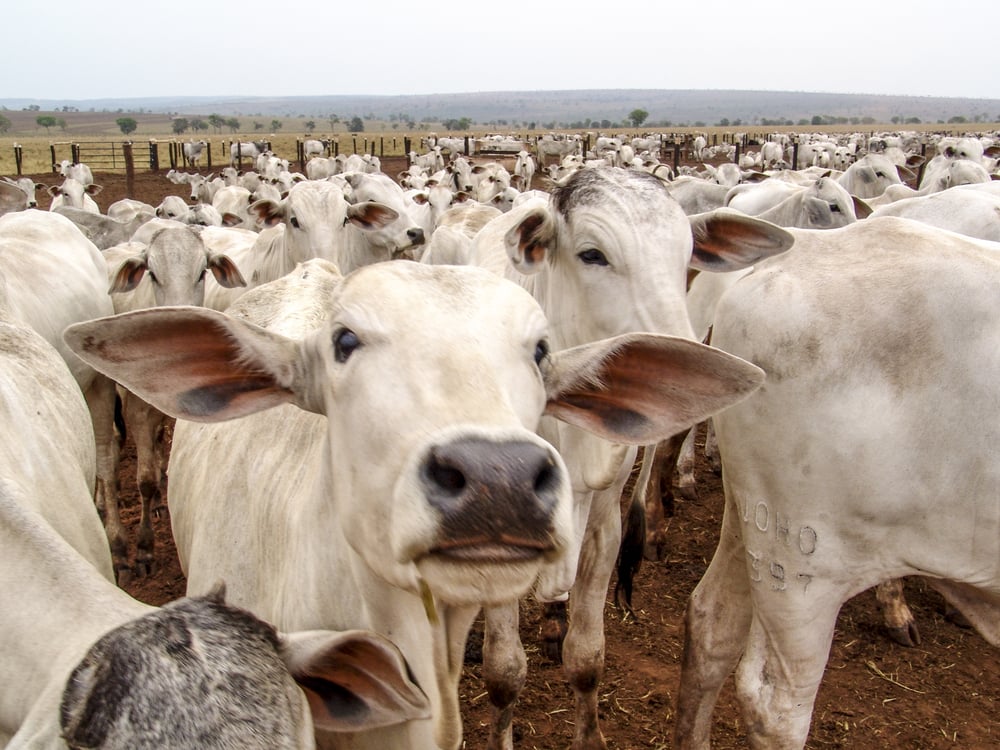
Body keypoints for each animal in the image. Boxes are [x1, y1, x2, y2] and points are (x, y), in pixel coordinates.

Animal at [464, 166, 794, 749]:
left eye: (687, 255)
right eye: (593, 254)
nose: (685, 363)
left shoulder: (605, 526)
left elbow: (587, 657)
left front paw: (589, 734)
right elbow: (504, 673)